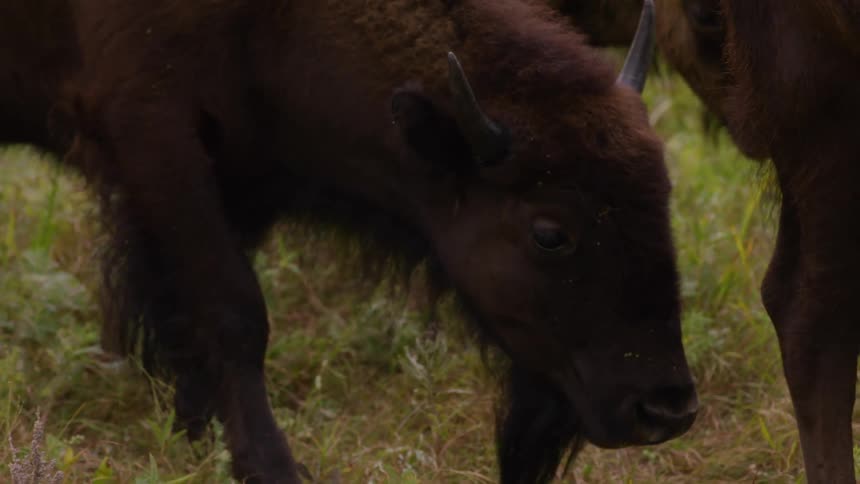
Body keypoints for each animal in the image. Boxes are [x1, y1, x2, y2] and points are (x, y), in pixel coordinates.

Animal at [2, 1, 698, 483]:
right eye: (550, 233)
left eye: (665, 192)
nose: (665, 409)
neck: (273, 21)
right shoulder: (154, 136)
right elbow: (235, 314)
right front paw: (273, 466)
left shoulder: (239, 178)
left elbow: (188, 318)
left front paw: (193, 436)